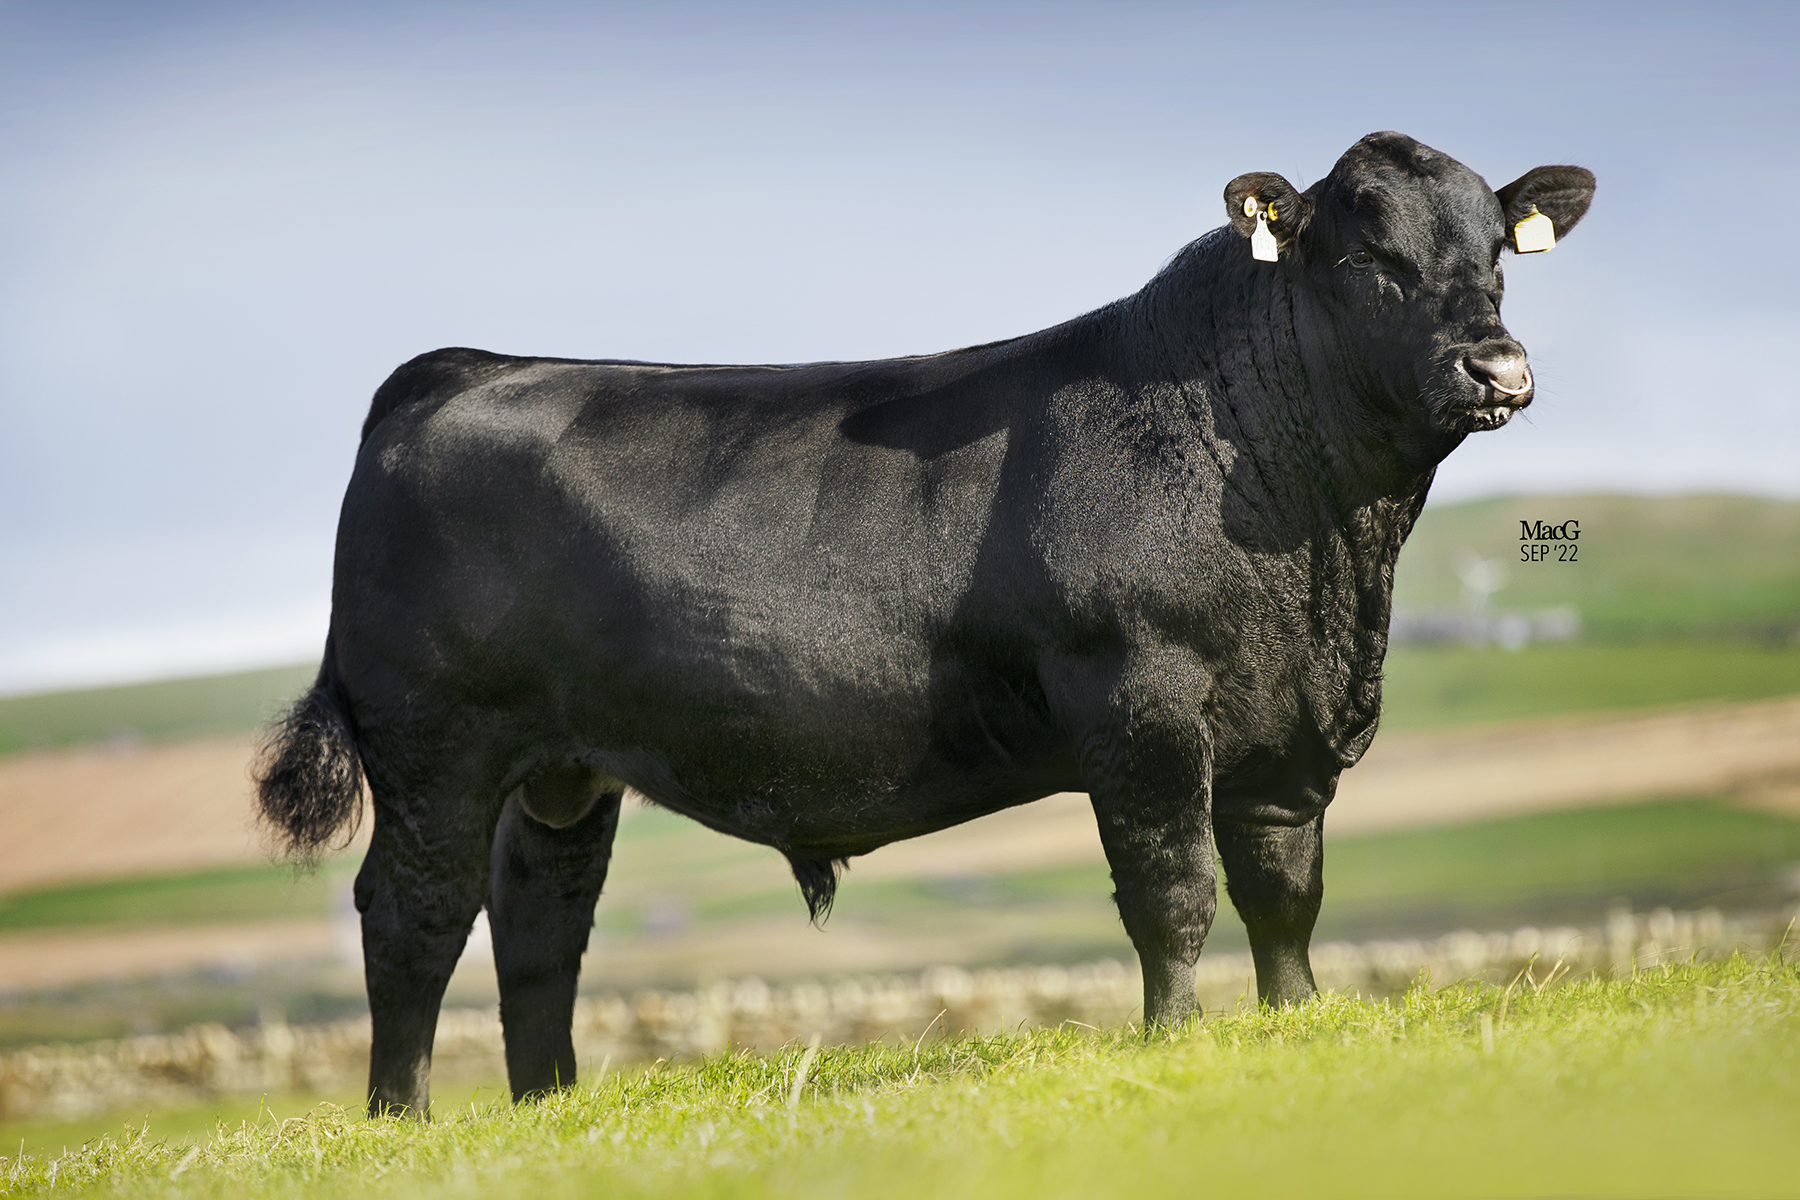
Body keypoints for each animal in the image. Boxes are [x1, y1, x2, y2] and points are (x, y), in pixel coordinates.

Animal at [256, 132, 1594, 1117]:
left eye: (1499, 256)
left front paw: (1297, 1026)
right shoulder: (1140, 699)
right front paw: (1174, 1042)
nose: (1497, 368)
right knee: (415, 914)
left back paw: (553, 1108)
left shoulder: (1291, 727)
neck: (1323, 559)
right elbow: (1171, 889)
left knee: (540, 922)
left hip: (561, 769)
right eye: (1370, 259)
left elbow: (1284, 892)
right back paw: (401, 1118)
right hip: (435, 744)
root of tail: (464, 366)